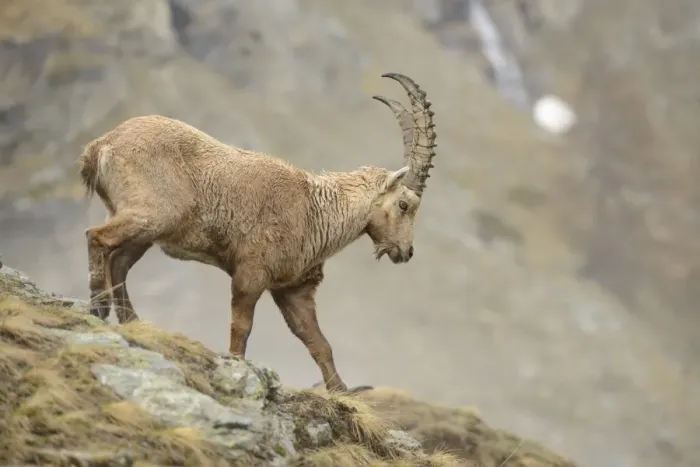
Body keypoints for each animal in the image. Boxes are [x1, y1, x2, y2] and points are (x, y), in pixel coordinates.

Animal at [77, 72, 437, 393]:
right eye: (404, 204)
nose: (406, 252)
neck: (315, 210)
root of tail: (101, 146)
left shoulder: (293, 289)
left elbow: (318, 342)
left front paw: (342, 391)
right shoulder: (252, 272)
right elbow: (243, 326)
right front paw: (237, 366)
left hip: (145, 228)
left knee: (119, 261)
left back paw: (131, 320)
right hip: (151, 214)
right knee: (97, 236)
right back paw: (98, 306)